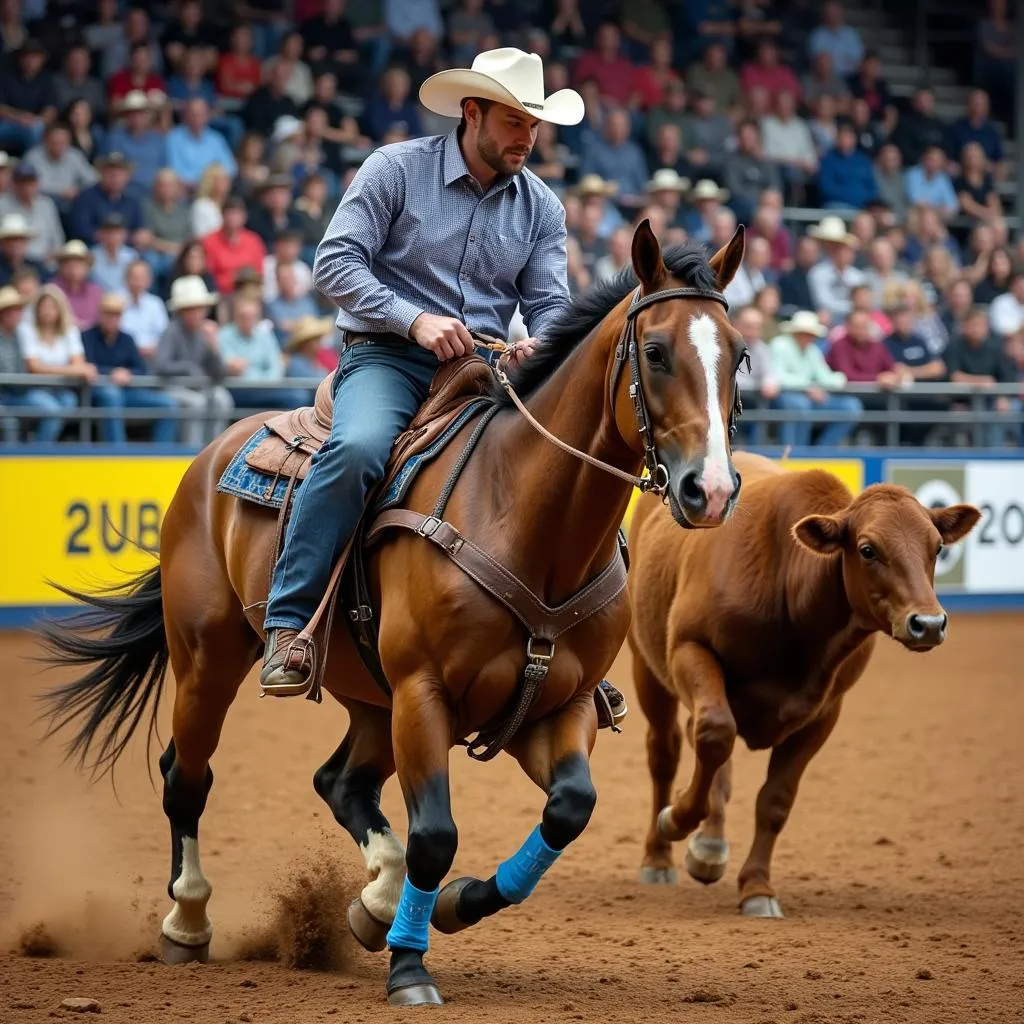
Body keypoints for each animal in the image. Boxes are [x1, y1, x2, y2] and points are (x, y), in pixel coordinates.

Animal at [39, 222, 749, 999]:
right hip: (209, 661)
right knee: (186, 777)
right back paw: (190, 923)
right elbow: (436, 835)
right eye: (655, 353)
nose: (711, 490)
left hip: (370, 700)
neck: (525, 519)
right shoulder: (423, 693)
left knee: (339, 781)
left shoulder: (560, 706)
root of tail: (212, 454)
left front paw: (456, 904)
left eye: (740, 354)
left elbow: (569, 809)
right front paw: (411, 967)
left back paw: (374, 900)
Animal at [626, 452, 978, 917]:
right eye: (867, 549)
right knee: (667, 751)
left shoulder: (823, 713)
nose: (929, 623)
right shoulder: (689, 648)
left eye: (937, 547)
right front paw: (676, 820)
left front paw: (757, 888)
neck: (791, 599)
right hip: (646, 665)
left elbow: (775, 800)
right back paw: (660, 856)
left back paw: (710, 845)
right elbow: (715, 733)